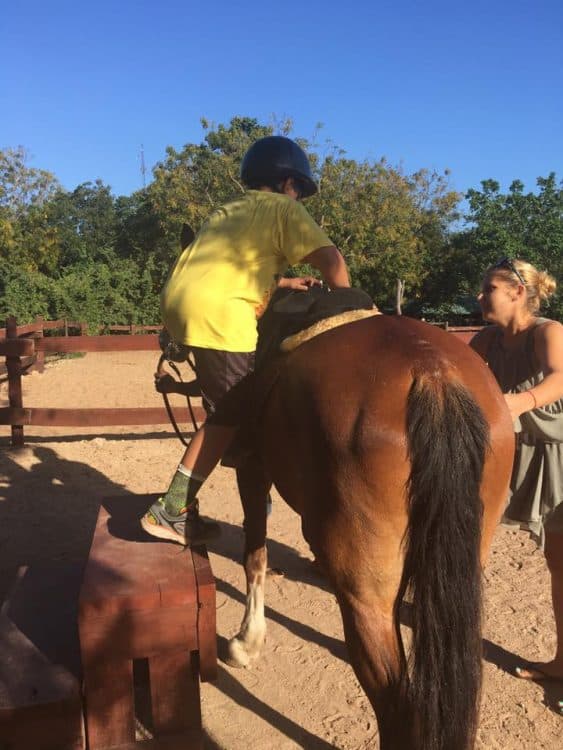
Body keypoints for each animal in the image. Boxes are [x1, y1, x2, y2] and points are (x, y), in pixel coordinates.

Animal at [227, 314, 516, 750]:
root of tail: (433, 372)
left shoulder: (251, 467)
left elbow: (254, 556)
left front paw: (247, 642)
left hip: (366, 599)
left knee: (398, 707)